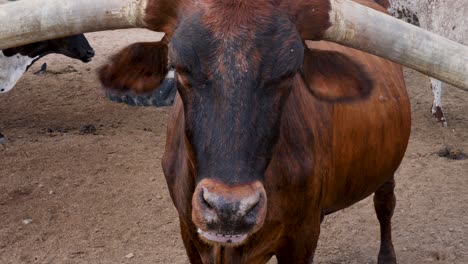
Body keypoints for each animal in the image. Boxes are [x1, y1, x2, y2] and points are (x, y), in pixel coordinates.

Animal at [0, 0, 468, 264]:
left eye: (289, 73)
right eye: (180, 69)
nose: (229, 208)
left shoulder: (301, 239)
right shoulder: (190, 234)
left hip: (388, 169)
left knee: (385, 206)